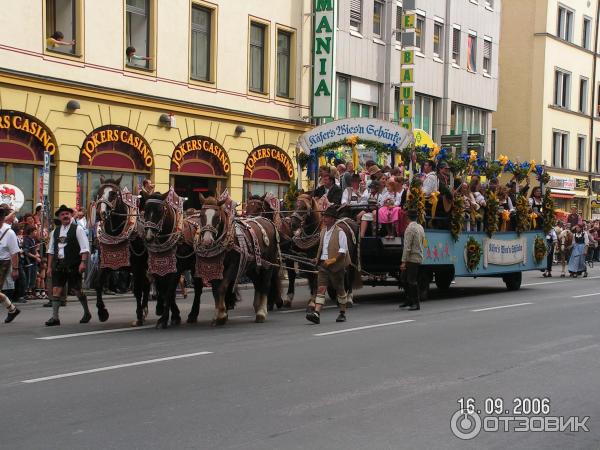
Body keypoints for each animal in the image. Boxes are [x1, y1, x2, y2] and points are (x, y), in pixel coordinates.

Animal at [95, 177, 150, 326]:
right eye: (99, 192)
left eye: (113, 194)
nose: (101, 213)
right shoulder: (106, 262)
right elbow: (98, 284)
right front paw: (102, 312)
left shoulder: (137, 266)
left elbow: (137, 290)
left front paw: (138, 317)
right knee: (147, 285)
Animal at [197, 195, 282, 326]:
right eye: (201, 215)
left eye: (217, 217)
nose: (207, 240)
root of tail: (269, 222)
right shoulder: (215, 268)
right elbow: (215, 291)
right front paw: (217, 315)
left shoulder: (233, 266)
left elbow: (222, 288)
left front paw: (222, 315)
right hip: (252, 267)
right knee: (258, 283)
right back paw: (257, 306)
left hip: (268, 263)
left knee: (265, 284)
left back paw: (261, 312)